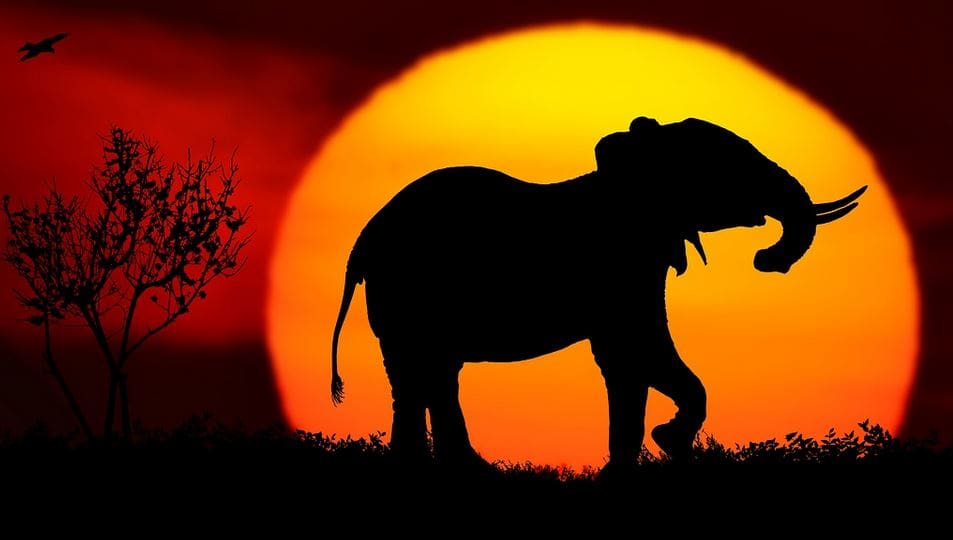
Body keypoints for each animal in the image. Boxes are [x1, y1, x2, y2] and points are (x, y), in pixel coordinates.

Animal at [329, 116, 865, 470]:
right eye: (724, 167)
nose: (767, 259)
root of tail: (362, 241)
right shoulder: (622, 264)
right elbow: (638, 350)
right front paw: (664, 444)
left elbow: (629, 358)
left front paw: (643, 457)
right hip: (407, 288)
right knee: (424, 373)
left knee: (428, 375)